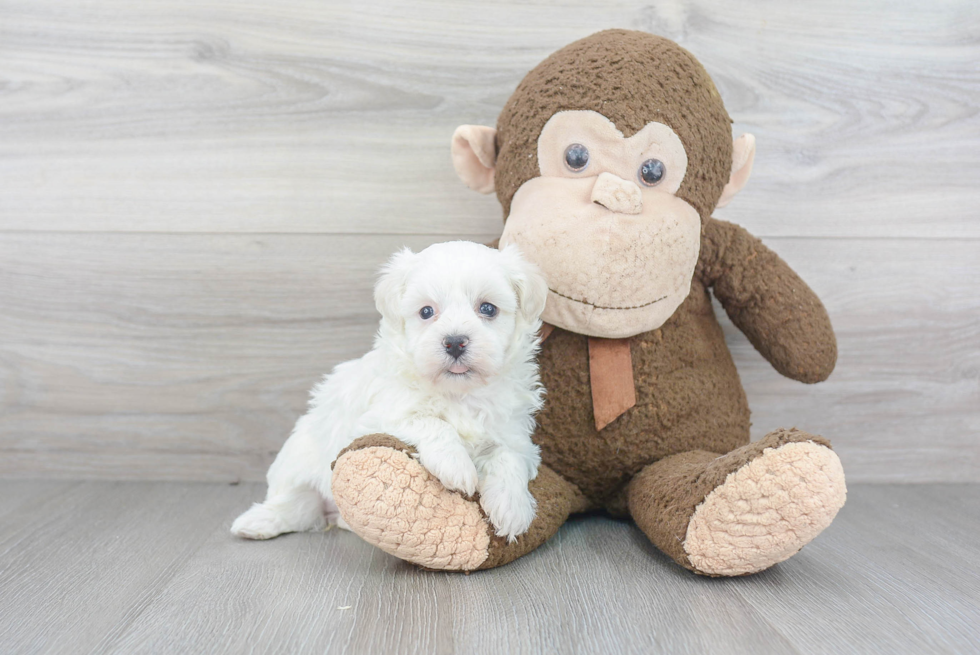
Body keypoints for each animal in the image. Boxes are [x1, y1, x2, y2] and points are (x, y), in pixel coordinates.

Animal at [233, 241, 548, 544]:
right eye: (426, 312)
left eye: (488, 309)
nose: (455, 342)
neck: (458, 393)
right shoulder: (376, 418)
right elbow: (430, 423)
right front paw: (455, 465)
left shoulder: (514, 434)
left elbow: (510, 457)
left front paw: (513, 509)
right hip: (297, 464)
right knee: (295, 504)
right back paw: (255, 523)